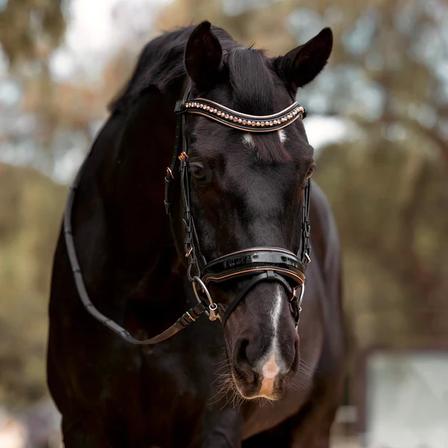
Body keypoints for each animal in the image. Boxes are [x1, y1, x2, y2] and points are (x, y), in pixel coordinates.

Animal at [46, 21, 346, 448]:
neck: (144, 306)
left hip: (312, 425)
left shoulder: (216, 424)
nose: (269, 351)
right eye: (200, 170)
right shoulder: (83, 423)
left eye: (307, 170)